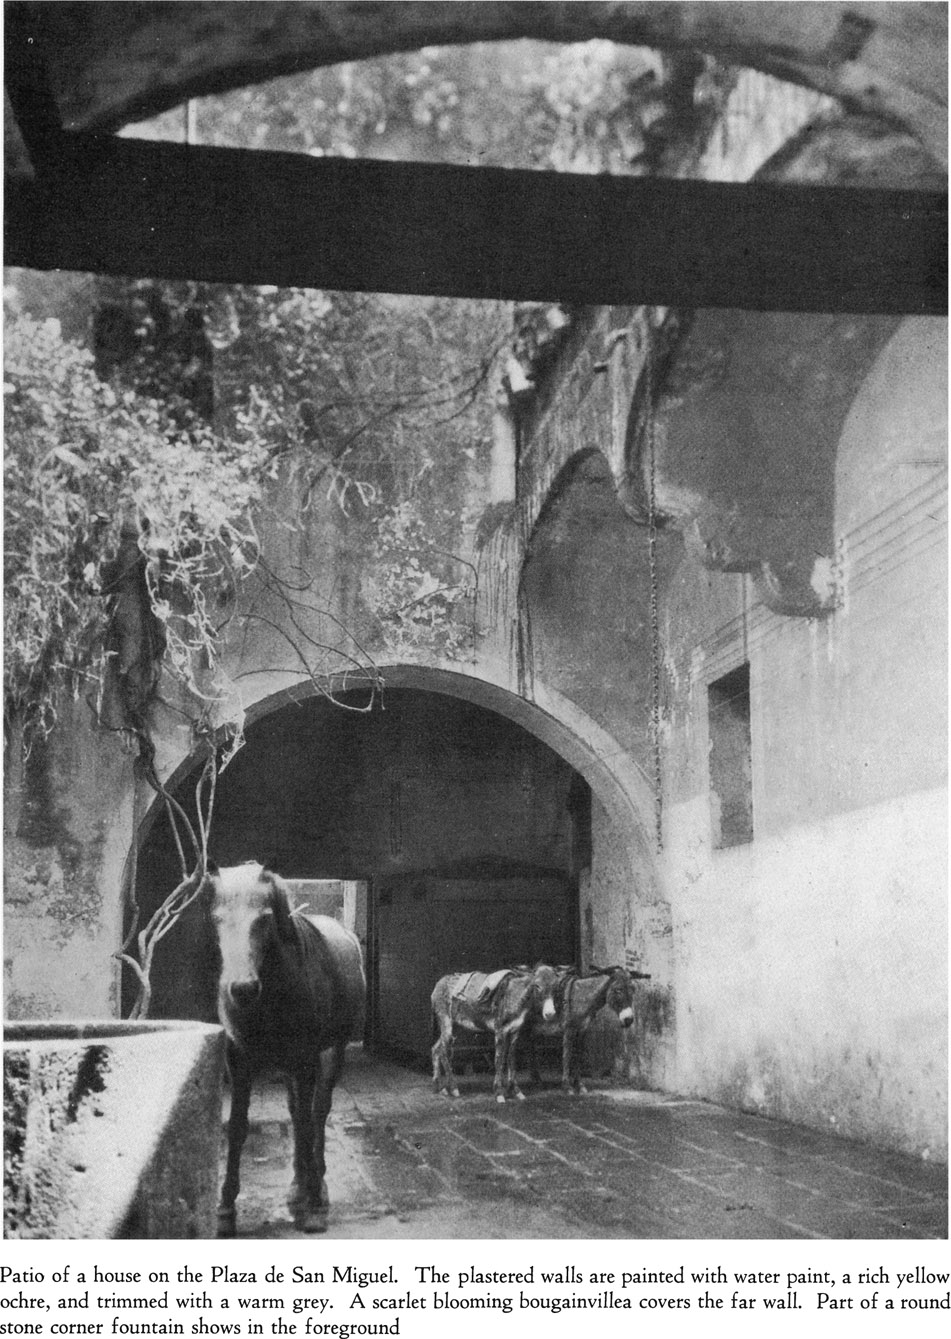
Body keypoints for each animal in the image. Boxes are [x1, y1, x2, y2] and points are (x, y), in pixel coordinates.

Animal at [206, 862, 367, 1237]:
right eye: (217, 918)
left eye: (265, 919)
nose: (242, 988)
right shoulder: (240, 1062)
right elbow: (237, 1128)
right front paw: (225, 1209)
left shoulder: (306, 1060)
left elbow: (308, 1123)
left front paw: (313, 1207)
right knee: (297, 1113)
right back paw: (297, 1183)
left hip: (331, 1052)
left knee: (318, 1113)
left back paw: (316, 1184)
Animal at [431, 969, 559, 1103]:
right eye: (537, 985)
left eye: (555, 986)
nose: (550, 1014)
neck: (515, 995)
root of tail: (439, 983)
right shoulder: (500, 1031)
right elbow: (499, 1059)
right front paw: (499, 1093)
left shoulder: (514, 1031)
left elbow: (511, 1059)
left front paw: (516, 1091)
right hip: (446, 1022)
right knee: (443, 1052)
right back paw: (453, 1088)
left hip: (455, 1027)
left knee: (436, 1049)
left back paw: (439, 1087)